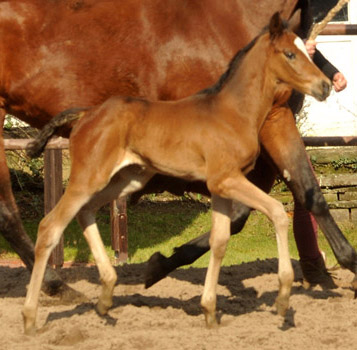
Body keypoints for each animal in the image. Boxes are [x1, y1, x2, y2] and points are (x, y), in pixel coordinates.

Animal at [22, 13, 330, 334]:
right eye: (290, 54)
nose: (325, 86)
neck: (233, 112)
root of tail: (86, 114)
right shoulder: (227, 179)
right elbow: (277, 213)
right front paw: (283, 298)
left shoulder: (220, 187)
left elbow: (220, 241)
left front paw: (209, 311)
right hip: (88, 176)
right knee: (50, 226)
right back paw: (30, 317)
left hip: (127, 179)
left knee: (86, 212)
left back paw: (106, 296)